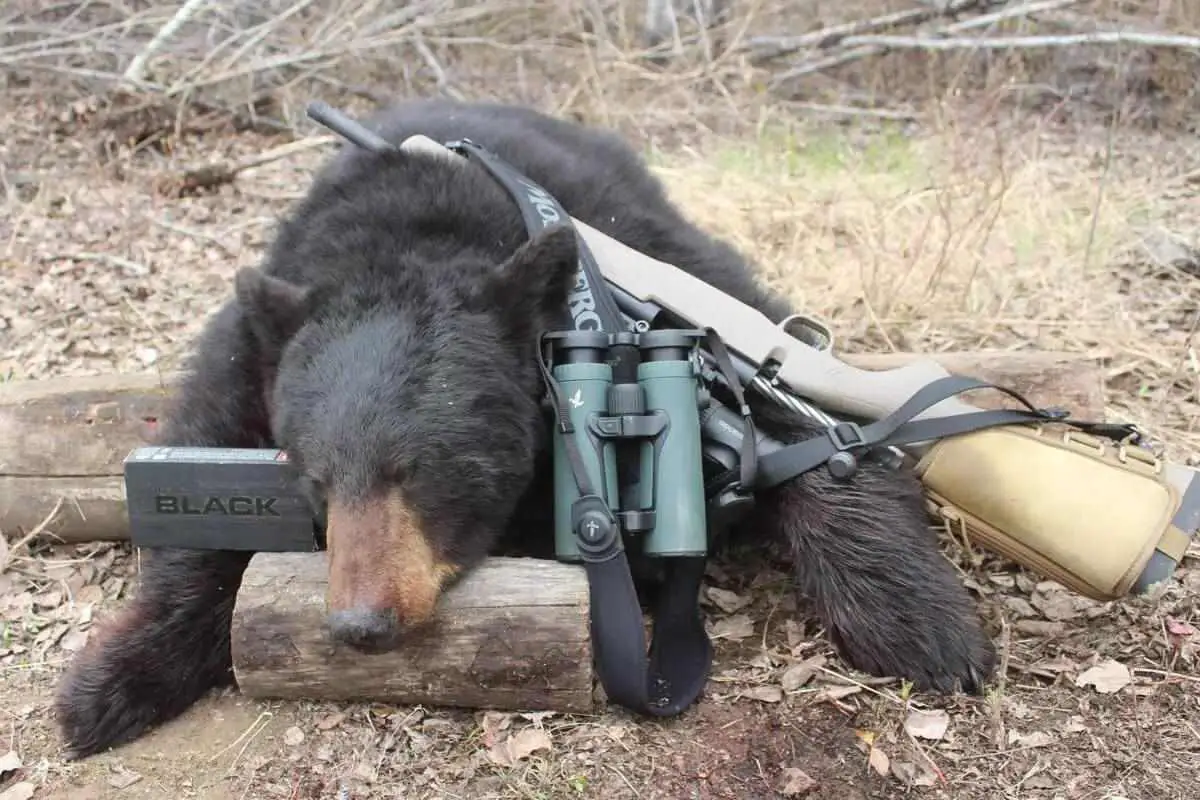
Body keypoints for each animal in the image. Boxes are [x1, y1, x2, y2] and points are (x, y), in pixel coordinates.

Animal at [54, 98, 996, 760]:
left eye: (419, 469)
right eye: (315, 480)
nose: (361, 624)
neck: (419, 236)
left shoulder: (663, 271)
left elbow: (814, 429)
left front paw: (927, 628)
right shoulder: (260, 333)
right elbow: (197, 483)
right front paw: (106, 683)